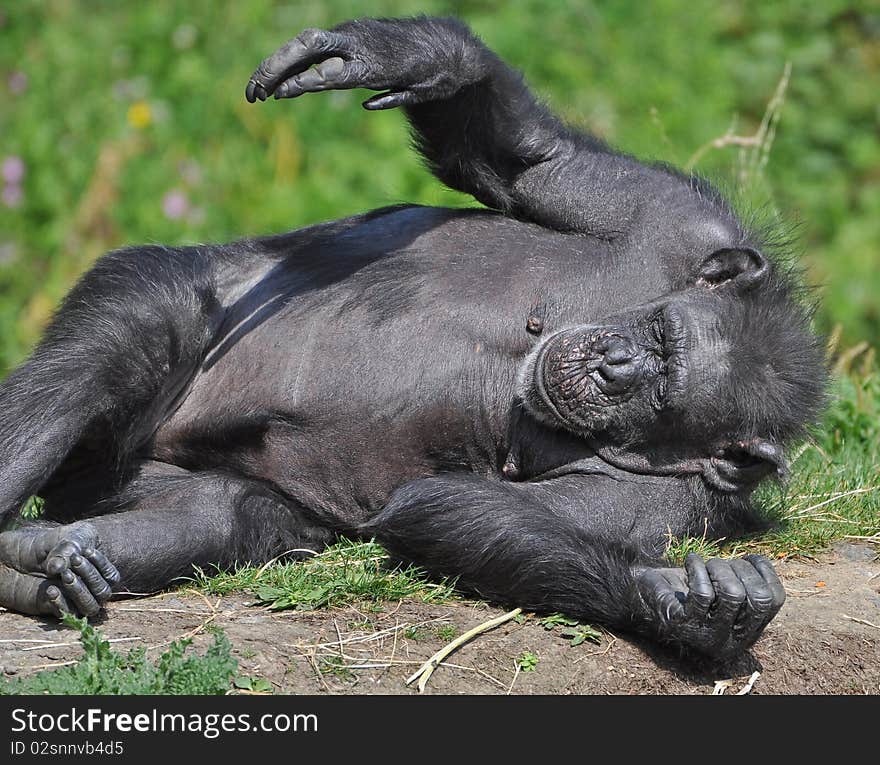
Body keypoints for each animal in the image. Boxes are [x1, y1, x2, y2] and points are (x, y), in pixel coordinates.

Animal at [0, 16, 824, 656]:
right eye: (656, 334)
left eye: (662, 395)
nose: (615, 365)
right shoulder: (677, 217)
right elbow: (530, 158)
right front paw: (405, 56)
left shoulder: (665, 508)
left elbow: (453, 506)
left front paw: (682, 606)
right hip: (147, 290)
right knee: (111, 346)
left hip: (130, 475)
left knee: (227, 513)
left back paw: (39, 559)